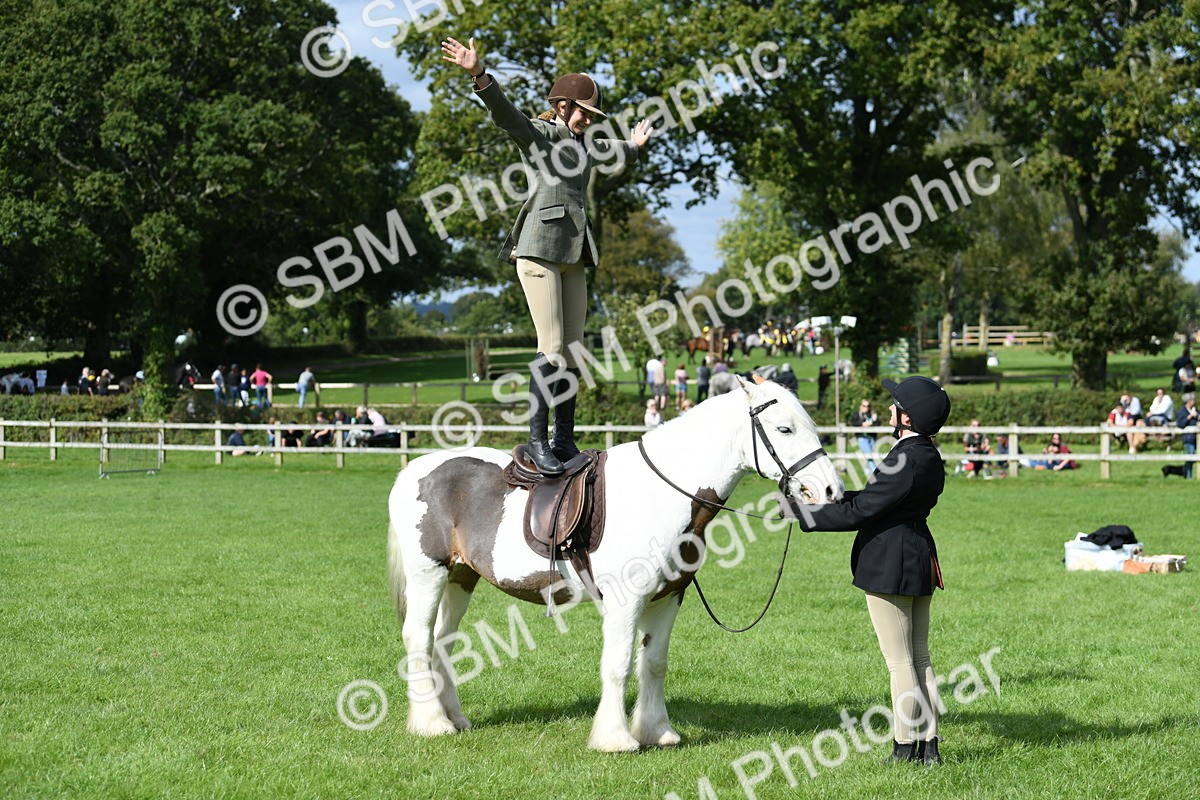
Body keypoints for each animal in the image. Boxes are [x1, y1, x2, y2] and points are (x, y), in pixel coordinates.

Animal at [387, 376, 842, 751]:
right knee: (419, 638)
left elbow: (653, 664)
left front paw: (658, 732)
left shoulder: (668, 598)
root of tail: (414, 469)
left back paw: (454, 718)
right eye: (784, 429)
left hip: (461, 577)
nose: (831, 489)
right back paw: (431, 723)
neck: (661, 492)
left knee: (443, 641)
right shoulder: (627, 602)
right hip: (429, 574)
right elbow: (619, 665)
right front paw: (616, 738)